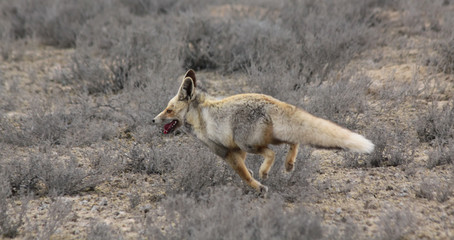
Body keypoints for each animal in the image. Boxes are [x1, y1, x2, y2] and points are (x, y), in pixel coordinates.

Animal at [154, 69, 374, 193]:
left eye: (169, 110)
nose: (153, 119)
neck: (199, 114)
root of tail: (272, 100)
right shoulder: (235, 148)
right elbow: (244, 167)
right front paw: (255, 177)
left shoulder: (226, 151)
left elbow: (244, 174)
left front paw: (258, 187)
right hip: (267, 138)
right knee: (293, 142)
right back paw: (289, 164)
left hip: (250, 143)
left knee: (272, 153)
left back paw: (265, 171)